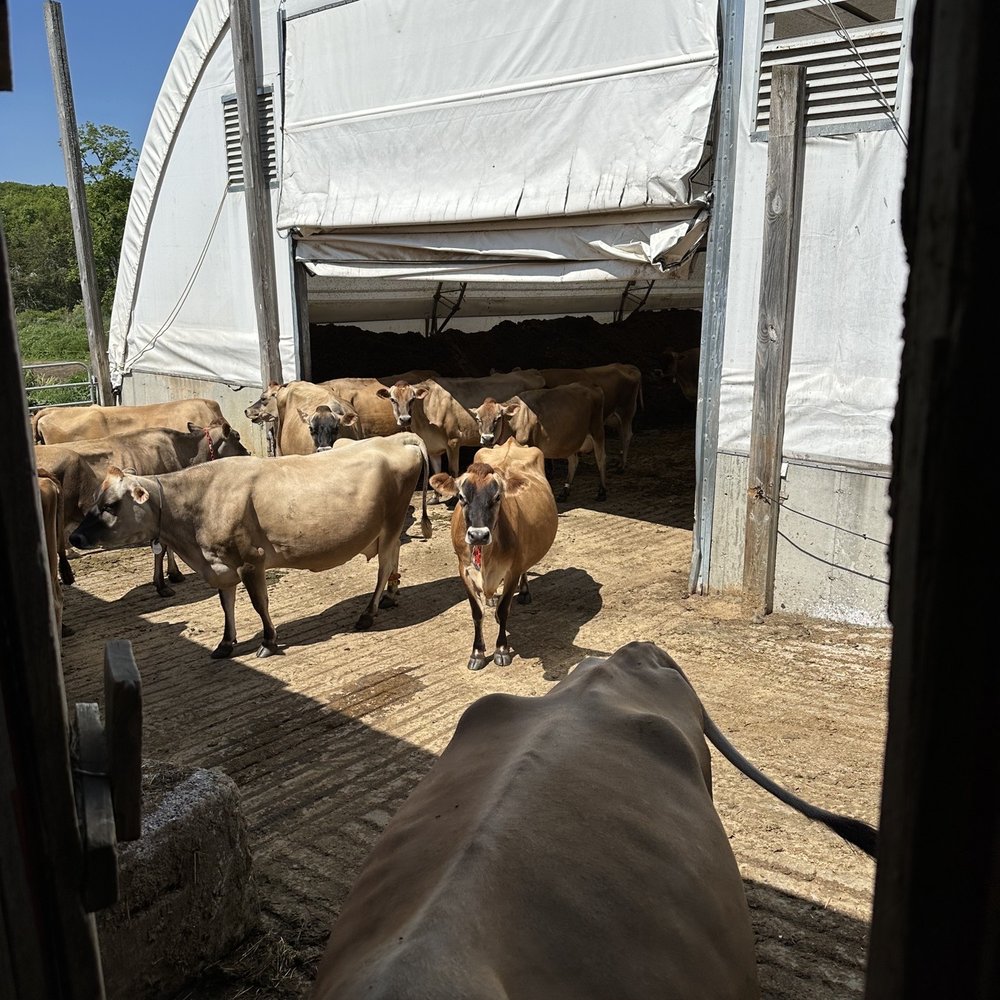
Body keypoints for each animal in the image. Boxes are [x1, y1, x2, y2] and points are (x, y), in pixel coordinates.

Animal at [69, 432, 433, 659]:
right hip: (388, 527)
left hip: (391, 522)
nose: (75, 538)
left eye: (111, 505)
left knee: (384, 566)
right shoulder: (220, 564)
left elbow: (259, 604)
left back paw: (368, 613)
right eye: (97, 499)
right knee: (393, 559)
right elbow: (226, 605)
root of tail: (398, 437)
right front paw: (226, 643)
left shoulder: (249, 561)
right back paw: (390, 596)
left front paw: (268, 641)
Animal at [377, 370, 546, 476]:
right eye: (393, 399)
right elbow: (436, 470)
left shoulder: (453, 440)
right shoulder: (431, 446)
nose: (405, 419)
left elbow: (452, 470)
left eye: (412, 399)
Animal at [429, 440, 558, 670]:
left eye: (497, 497)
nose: (478, 535)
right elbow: (477, 612)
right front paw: (477, 653)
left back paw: (524, 592)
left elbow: (503, 609)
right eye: (461, 497)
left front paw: (501, 649)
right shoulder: (463, 569)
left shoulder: (513, 569)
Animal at [470, 382, 608, 501]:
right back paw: (564, 493)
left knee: (601, 458)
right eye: (478, 419)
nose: (487, 438)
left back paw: (602, 492)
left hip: (597, 430)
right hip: (570, 440)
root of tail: (593, 386)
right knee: (573, 462)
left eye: (498, 418)